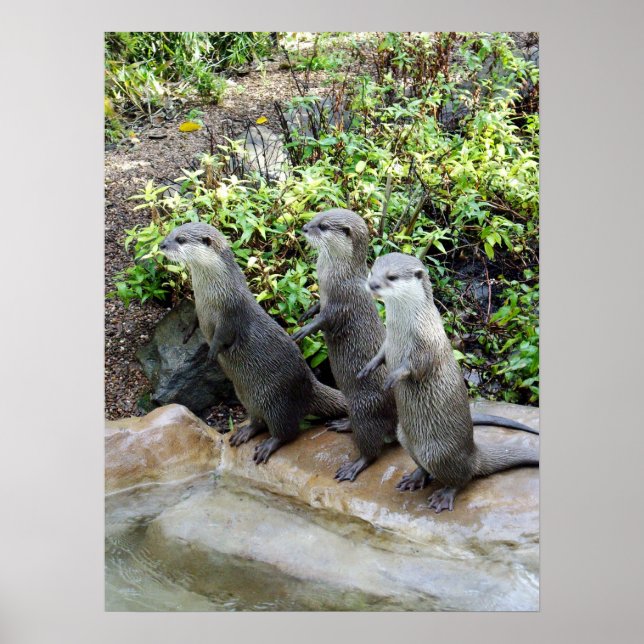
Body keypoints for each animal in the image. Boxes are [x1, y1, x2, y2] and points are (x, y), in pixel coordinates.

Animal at [159, 222, 347, 464]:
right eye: (171, 233)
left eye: (181, 239)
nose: (162, 245)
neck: (212, 295)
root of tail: (309, 385)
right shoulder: (199, 306)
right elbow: (194, 318)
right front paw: (188, 331)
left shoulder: (231, 313)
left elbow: (222, 335)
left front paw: (211, 352)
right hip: (247, 396)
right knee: (259, 420)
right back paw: (245, 432)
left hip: (278, 402)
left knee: (287, 431)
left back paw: (268, 446)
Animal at [293, 209, 536, 483]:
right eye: (316, 216)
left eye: (323, 226)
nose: (304, 228)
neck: (334, 275)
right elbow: (318, 308)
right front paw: (307, 313)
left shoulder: (343, 302)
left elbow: (326, 319)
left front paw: (304, 329)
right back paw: (344, 424)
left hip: (364, 409)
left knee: (372, 446)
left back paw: (356, 464)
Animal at [359, 252, 539, 512]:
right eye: (372, 272)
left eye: (391, 277)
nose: (372, 285)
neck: (404, 330)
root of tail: (472, 453)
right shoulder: (387, 341)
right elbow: (381, 355)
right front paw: (368, 367)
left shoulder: (427, 343)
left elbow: (415, 367)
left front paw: (392, 378)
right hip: (405, 438)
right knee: (425, 465)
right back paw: (415, 478)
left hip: (438, 453)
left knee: (462, 478)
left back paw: (444, 495)